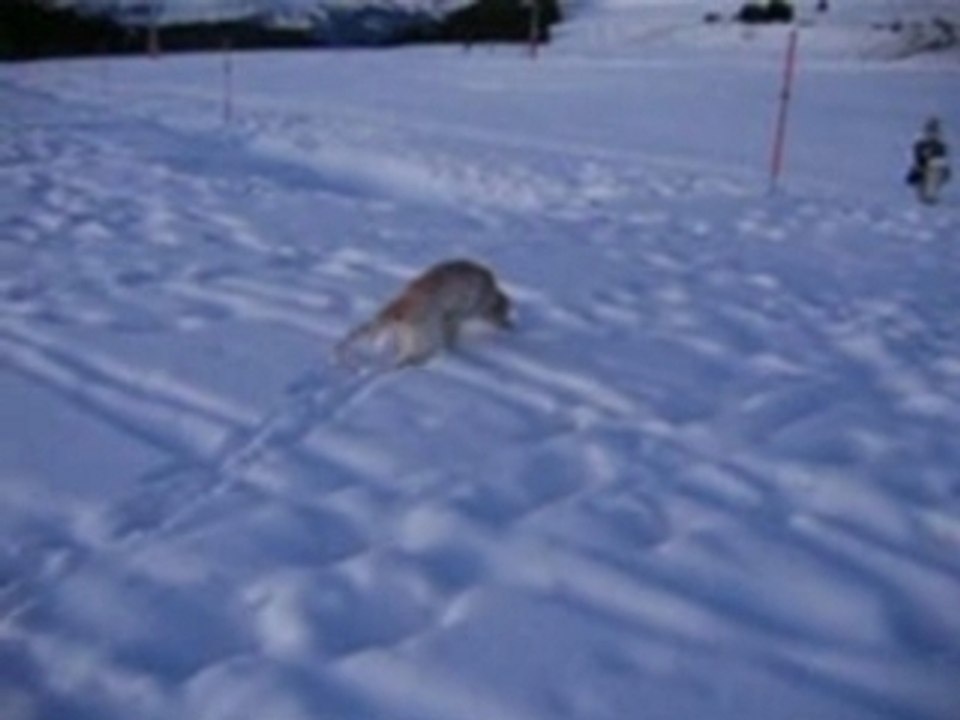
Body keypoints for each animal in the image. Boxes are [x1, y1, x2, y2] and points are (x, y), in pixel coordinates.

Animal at [335, 259, 513, 367]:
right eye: (504, 314)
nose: (509, 326)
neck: (489, 293)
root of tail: (399, 308)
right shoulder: (455, 316)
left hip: (411, 336)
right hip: (426, 333)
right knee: (413, 356)